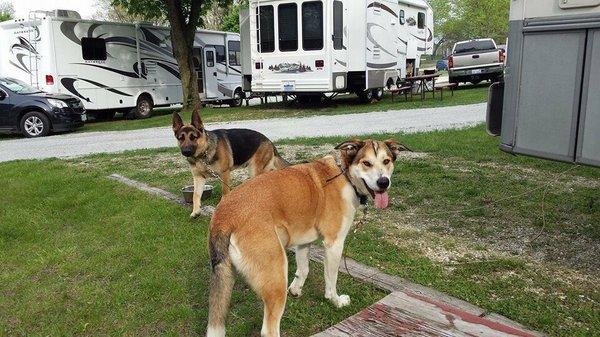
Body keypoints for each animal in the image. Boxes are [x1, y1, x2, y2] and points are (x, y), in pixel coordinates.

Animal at [205, 137, 408, 336]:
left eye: (386, 161)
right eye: (366, 163)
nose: (383, 182)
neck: (344, 174)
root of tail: (224, 216)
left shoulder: (303, 242)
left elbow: (303, 269)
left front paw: (296, 290)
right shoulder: (334, 244)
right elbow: (331, 281)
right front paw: (336, 301)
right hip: (277, 276)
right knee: (269, 330)